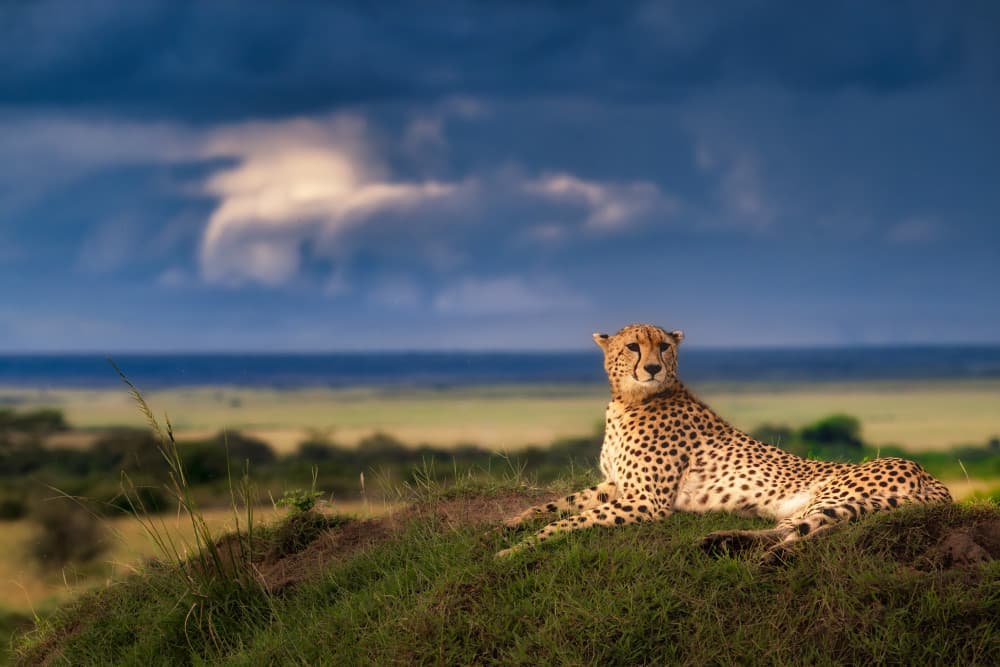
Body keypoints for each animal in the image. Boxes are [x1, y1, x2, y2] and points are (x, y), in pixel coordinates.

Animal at [497, 323, 953, 562]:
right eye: (632, 346)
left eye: (664, 346)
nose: (652, 367)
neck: (628, 400)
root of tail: (930, 475)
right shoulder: (619, 486)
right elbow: (558, 504)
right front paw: (511, 525)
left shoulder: (647, 501)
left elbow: (572, 520)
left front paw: (520, 548)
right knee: (797, 528)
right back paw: (725, 541)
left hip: (835, 494)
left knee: (811, 532)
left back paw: (763, 555)